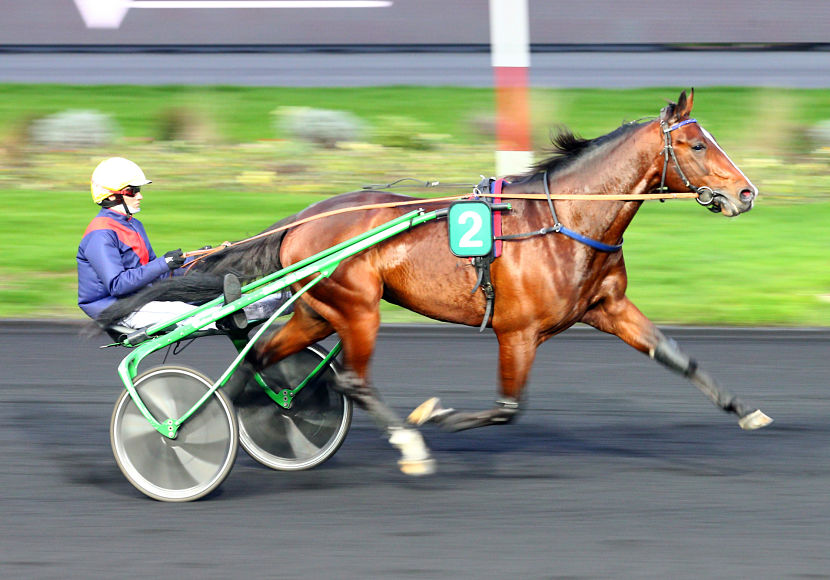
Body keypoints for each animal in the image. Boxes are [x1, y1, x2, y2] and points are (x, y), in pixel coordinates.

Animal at [102, 90, 772, 476]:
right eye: (695, 143)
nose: (746, 192)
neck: (564, 220)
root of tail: (299, 220)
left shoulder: (608, 307)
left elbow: (677, 357)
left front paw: (745, 412)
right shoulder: (517, 331)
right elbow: (505, 409)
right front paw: (436, 418)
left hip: (318, 310)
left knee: (263, 357)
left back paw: (261, 411)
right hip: (359, 309)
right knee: (349, 376)